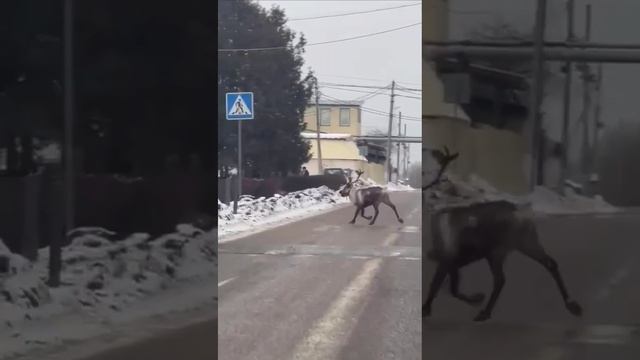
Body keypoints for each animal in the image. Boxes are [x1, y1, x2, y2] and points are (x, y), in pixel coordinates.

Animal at [422, 148, 584, 322]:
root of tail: (522, 212)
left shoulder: (448, 255)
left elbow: (436, 285)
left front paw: (426, 309)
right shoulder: (455, 258)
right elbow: (453, 288)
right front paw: (475, 297)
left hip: (505, 248)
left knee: (506, 277)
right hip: (520, 243)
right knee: (541, 266)